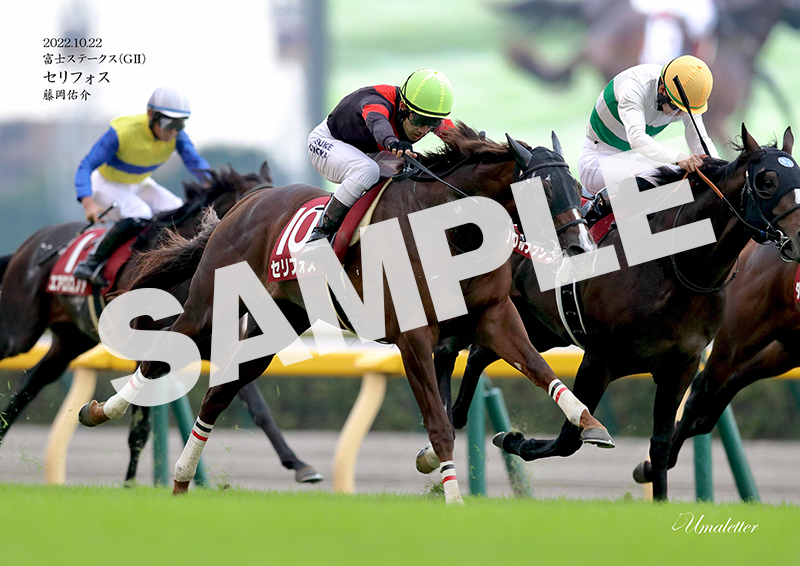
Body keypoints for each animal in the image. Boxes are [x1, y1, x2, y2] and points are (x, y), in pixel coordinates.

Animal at [0, 164, 322, 484]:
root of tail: (28, 245)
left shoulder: (221, 348)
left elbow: (257, 408)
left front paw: (299, 464)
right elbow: (140, 426)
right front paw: (130, 484)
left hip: (71, 340)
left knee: (31, 383)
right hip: (20, 333)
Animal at [78, 123, 611, 504]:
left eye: (575, 185)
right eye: (544, 187)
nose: (581, 245)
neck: (449, 229)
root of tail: (248, 201)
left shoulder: (494, 316)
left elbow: (540, 370)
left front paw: (590, 425)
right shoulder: (413, 337)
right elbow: (438, 423)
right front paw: (454, 499)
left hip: (277, 324)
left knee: (219, 392)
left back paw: (182, 479)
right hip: (209, 302)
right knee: (163, 352)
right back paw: (101, 410)